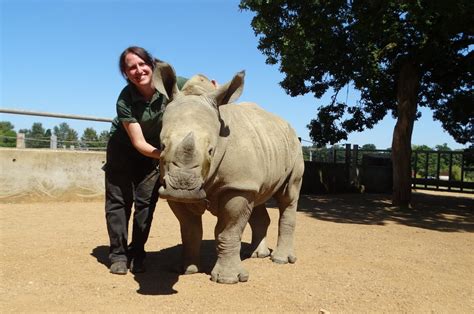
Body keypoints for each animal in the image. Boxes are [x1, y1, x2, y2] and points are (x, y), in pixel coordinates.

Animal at [154, 62, 306, 284]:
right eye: (162, 146)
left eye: (211, 151)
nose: (182, 188)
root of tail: (288, 126)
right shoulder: (171, 187)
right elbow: (190, 230)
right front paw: (185, 270)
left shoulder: (237, 186)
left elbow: (229, 230)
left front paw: (228, 279)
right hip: (264, 153)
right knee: (259, 199)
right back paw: (256, 254)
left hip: (294, 148)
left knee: (288, 195)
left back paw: (280, 260)